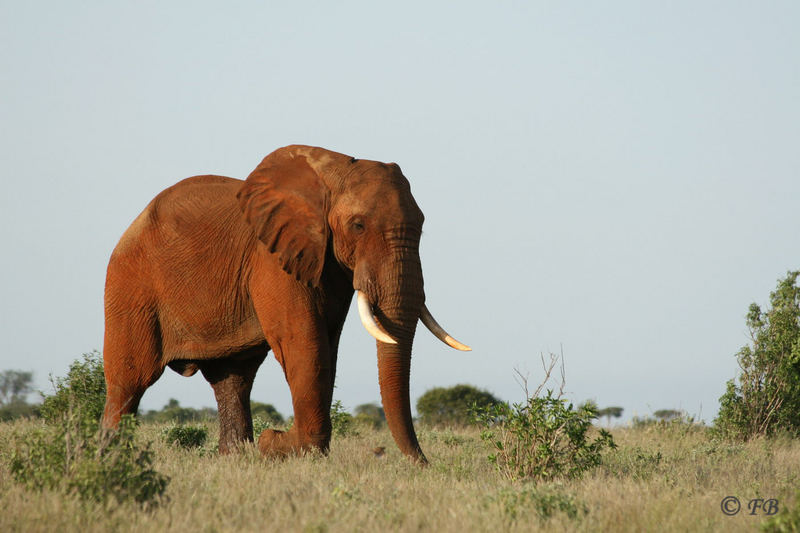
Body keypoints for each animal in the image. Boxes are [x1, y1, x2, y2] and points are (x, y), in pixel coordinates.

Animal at [103, 144, 472, 462]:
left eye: (421, 226)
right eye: (358, 226)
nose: (424, 464)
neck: (331, 172)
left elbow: (328, 346)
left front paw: (274, 446)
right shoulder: (273, 259)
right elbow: (306, 345)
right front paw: (283, 446)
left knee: (233, 379)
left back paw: (235, 458)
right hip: (130, 288)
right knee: (129, 382)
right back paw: (111, 459)